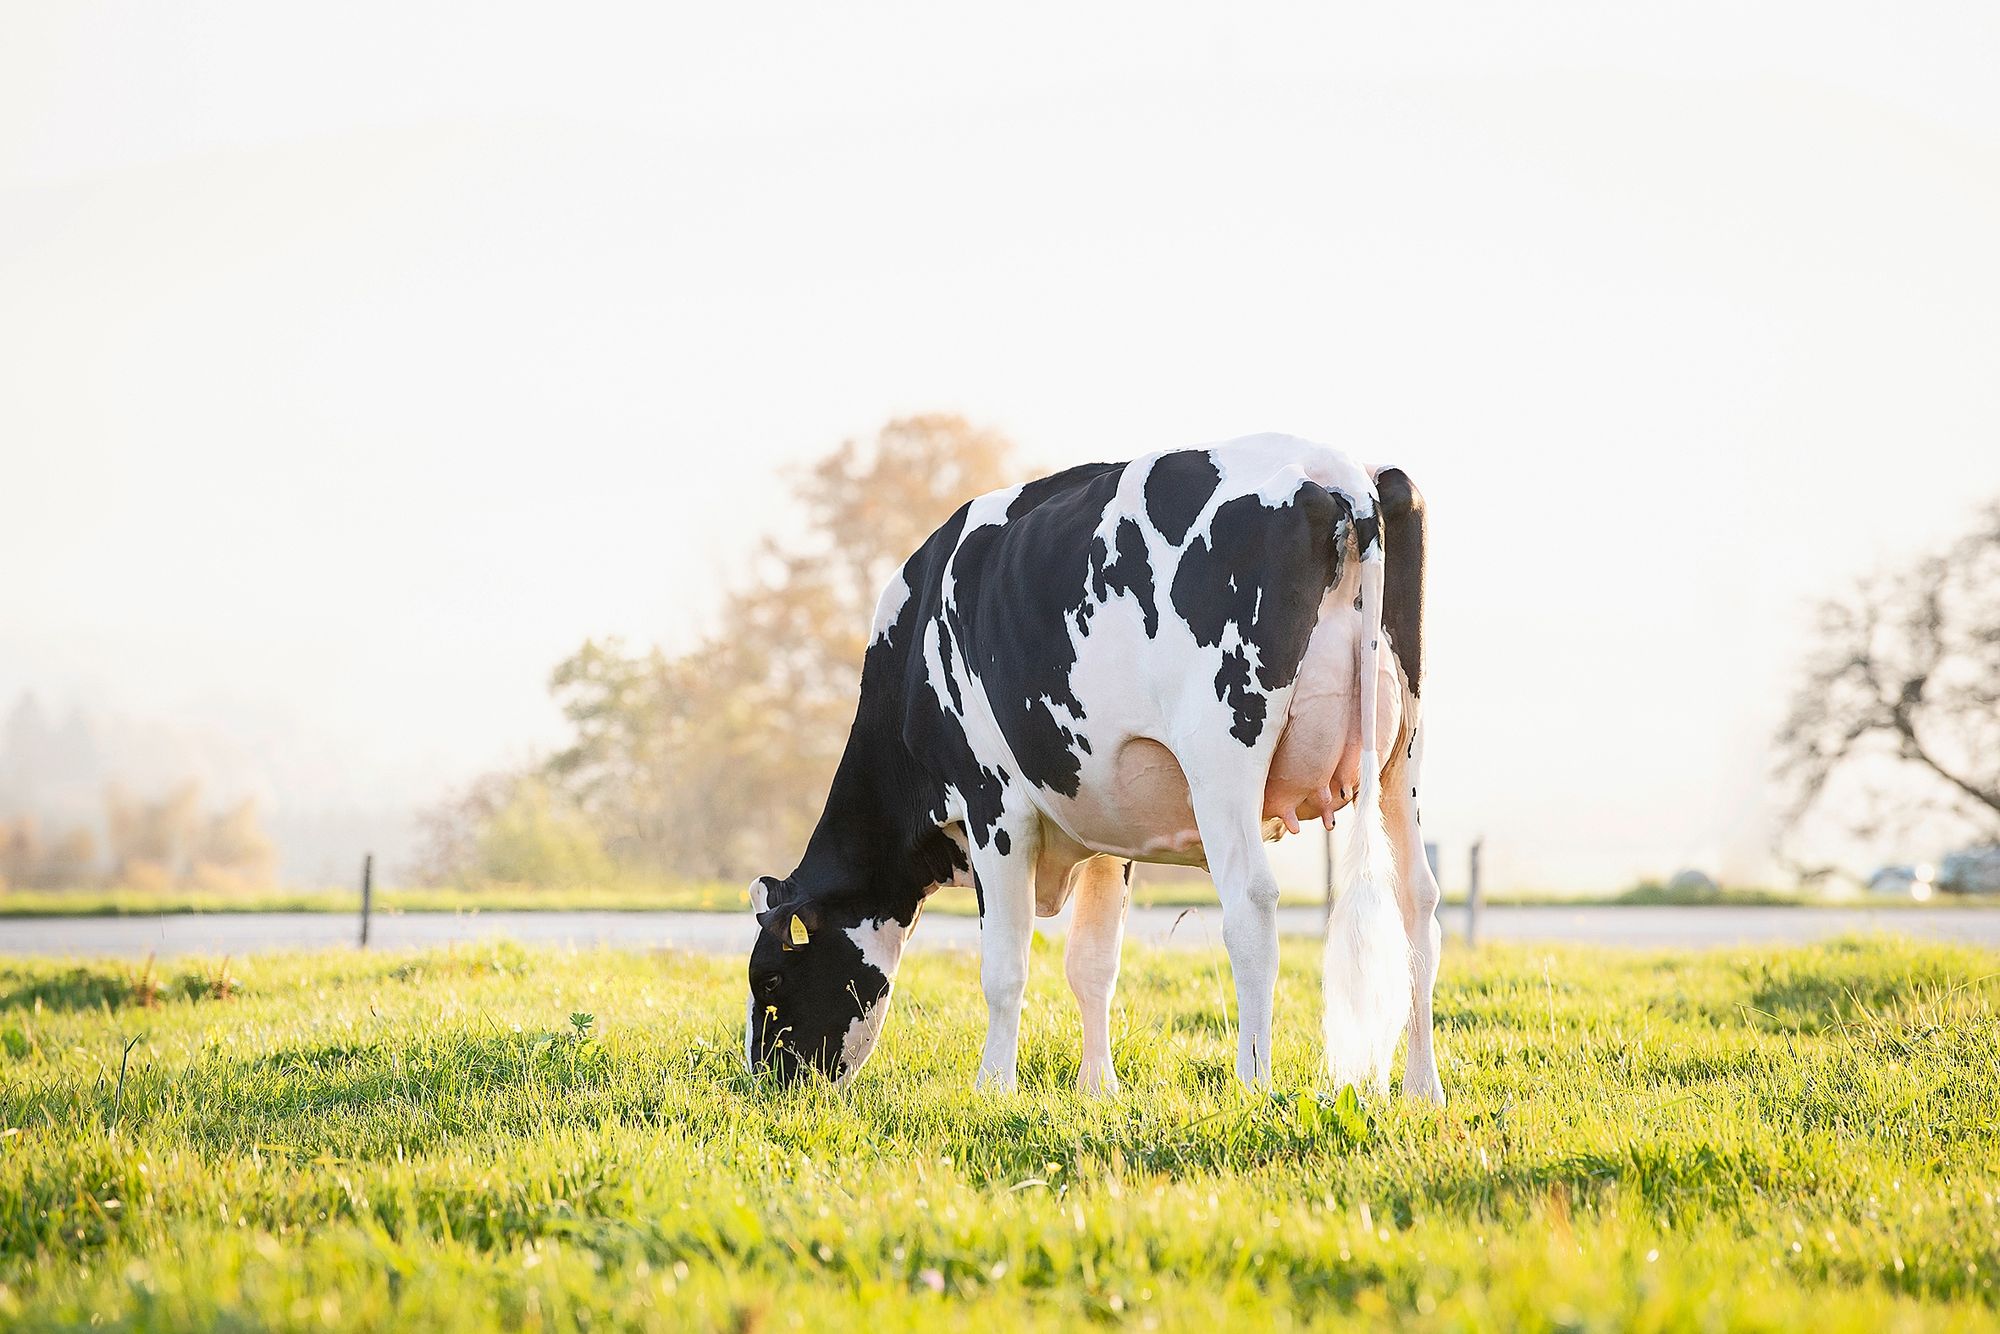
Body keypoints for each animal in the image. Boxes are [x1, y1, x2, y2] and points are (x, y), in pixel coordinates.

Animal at [746, 433, 1442, 1102]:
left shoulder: (993, 806)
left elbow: (1004, 967)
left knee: (1251, 905)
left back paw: (1254, 1084)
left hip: (1223, 754)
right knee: (1418, 901)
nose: (764, 1082)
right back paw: (1422, 1089)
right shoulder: (1111, 827)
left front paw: (993, 1088)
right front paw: (1098, 1089)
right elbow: (1092, 964)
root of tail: (1337, 471)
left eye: (771, 978)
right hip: (1403, 748)